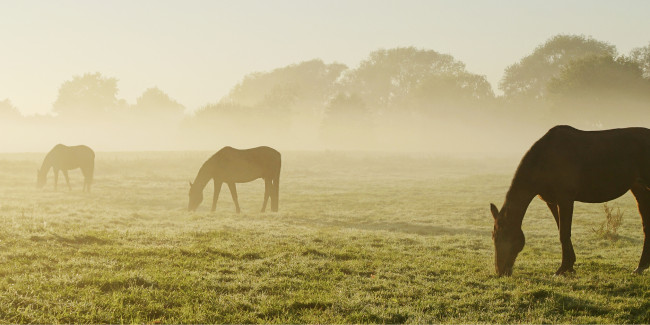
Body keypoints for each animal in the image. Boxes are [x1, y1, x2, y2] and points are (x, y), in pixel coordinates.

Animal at [488, 125, 648, 274]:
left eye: (503, 236)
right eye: (493, 237)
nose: (500, 271)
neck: (545, 159)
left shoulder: (565, 199)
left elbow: (564, 233)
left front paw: (563, 268)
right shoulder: (552, 202)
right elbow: (561, 230)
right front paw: (570, 266)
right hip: (639, 189)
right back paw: (641, 267)